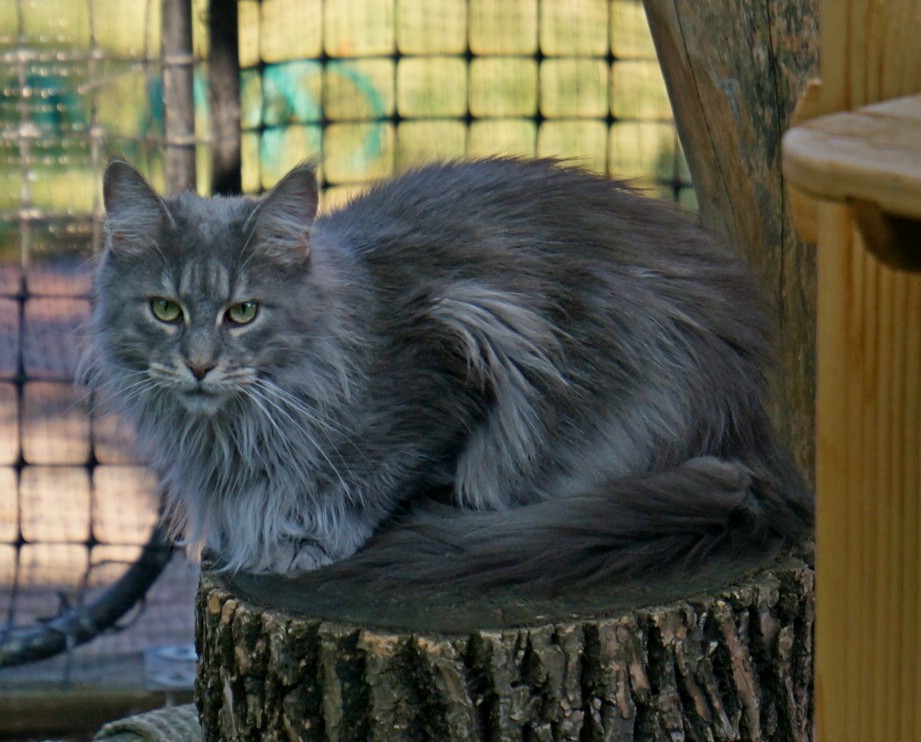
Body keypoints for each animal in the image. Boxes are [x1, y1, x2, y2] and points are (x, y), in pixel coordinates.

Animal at [86, 157, 808, 588]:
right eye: (166, 309)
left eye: (242, 312)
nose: (199, 364)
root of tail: (751, 429)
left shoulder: (458, 344)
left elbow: (374, 469)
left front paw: (302, 539)